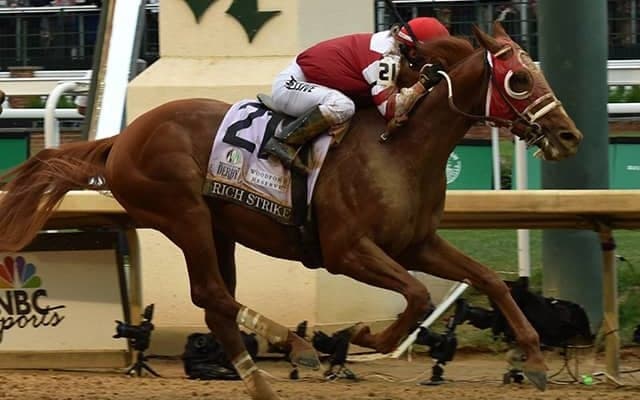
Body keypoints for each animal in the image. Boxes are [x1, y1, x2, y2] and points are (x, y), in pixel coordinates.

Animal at [0, 23, 581, 400]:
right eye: (520, 80)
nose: (569, 136)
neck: (401, 150)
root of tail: (122, 138)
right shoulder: (347, 250)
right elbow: (416, 295)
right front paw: (364, 337)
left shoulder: (417, 243)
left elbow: (490, 279)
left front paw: (533, 359)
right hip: (182, 215)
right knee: (211, 294)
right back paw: (300, 345)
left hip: (218, 226)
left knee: (216, 303)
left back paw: (260, 381)